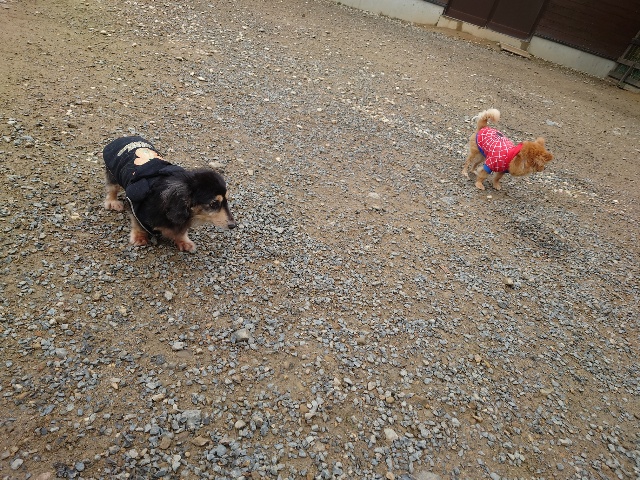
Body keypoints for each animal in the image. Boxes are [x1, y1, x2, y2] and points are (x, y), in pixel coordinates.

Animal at [102, 136, 236, 252]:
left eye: (227, 200)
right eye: (213, 203)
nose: (233, 225)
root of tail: (125, 138)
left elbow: (181, 232)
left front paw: (183, 242)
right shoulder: (134, 204)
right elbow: (137, 224)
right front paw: (139, 237)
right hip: (114, 175)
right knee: (112, 189)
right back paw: (113, 202)